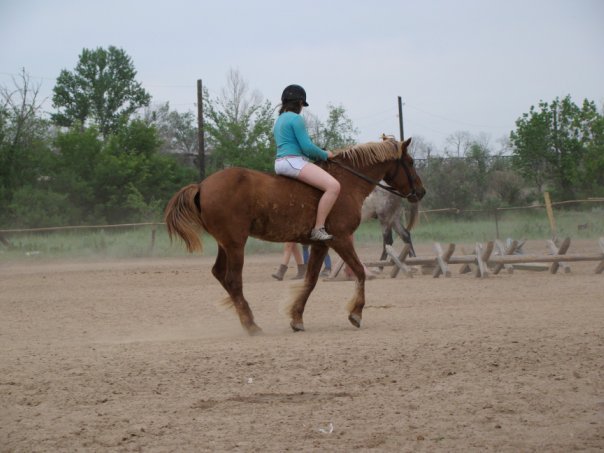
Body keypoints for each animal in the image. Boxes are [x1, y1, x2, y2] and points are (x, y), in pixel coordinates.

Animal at [163, 137, 422, 332]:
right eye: (409, 162)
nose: (421, 191)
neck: (347, 182)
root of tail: (202, 185)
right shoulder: (341, 238)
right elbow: (358, 272)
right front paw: (356, 314)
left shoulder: (321, 244)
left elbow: (311, 280)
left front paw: (297, 318)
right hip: (236, 243)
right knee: (233, 279)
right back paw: (251, 325)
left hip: (225, 243)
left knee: (219, 273)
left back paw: (247, 316)